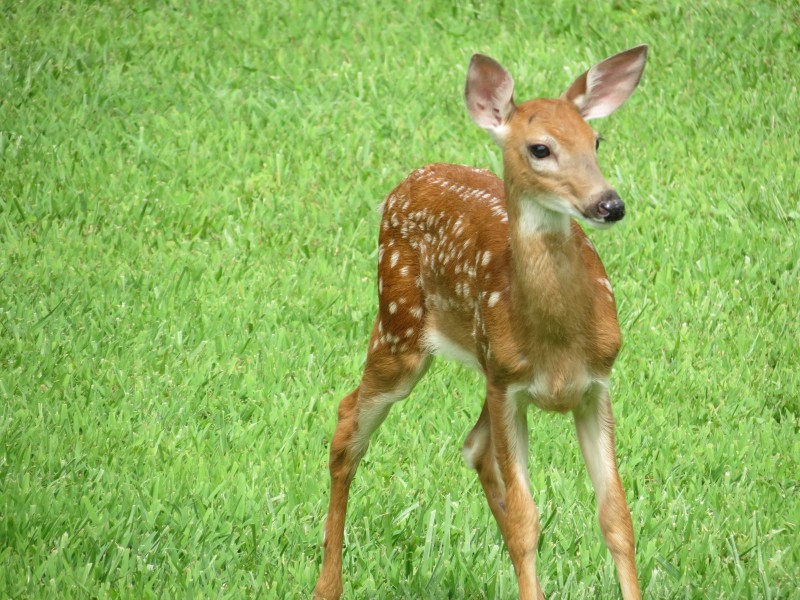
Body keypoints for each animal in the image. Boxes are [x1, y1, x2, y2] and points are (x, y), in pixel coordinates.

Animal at [314, 44, 648, 596]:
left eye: (596, 140)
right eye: (540, 149)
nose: (610, 204)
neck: (557, 345)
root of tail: (410, 178)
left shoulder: (596, 383)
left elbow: (616, 517)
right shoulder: (509, 388)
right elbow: (526, 520)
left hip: (477, 362)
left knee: (473, 447)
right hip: (399, 327)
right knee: (347, 423)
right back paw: (328, 585)